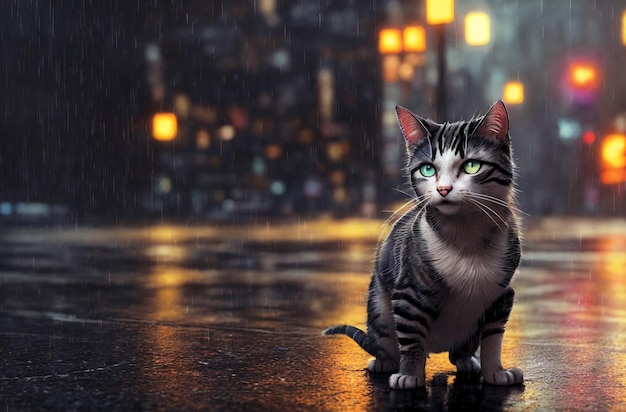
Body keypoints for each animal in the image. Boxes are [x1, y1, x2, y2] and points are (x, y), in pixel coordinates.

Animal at [322, 100, 520, 390]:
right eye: (428, 169)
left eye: (472, 166)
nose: (443, 189)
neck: (465, 236)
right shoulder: (408, 292)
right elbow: (412, 340)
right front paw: (410, 375)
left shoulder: (502, 296)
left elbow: (493, 339)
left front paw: (496, 372)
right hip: (379, 308)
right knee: (388, 340)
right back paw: (385, 361)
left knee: (460, 350)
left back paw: (466, 360)